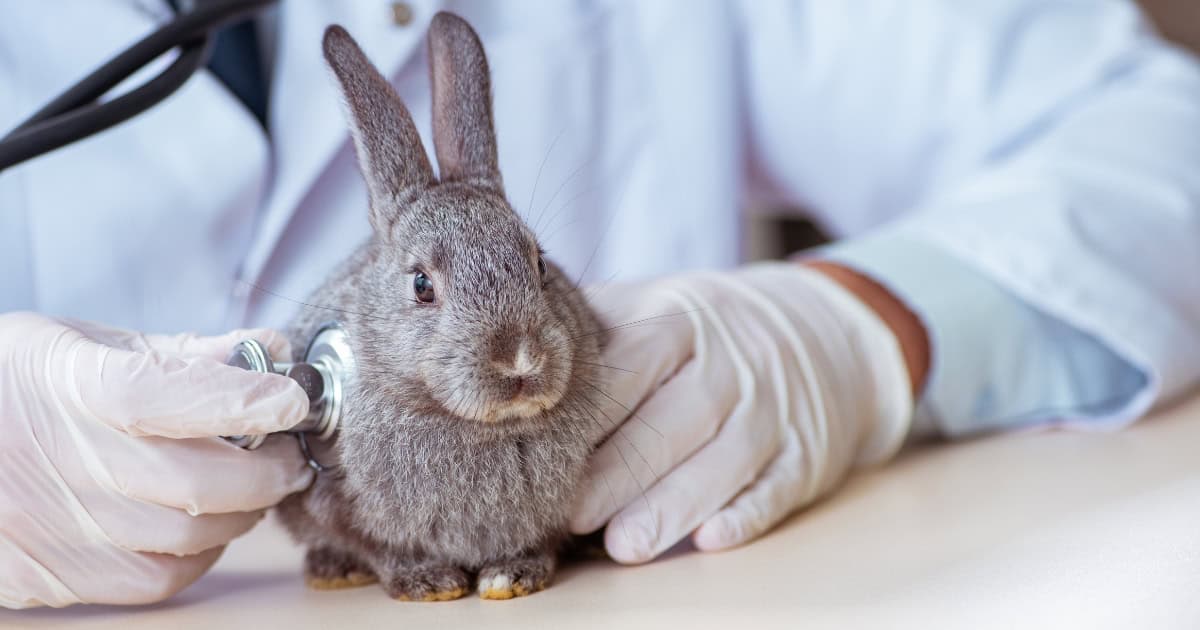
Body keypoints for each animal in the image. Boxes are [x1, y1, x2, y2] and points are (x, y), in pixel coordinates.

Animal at [274, 13, 608, 602]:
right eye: (422, 285)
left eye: (540, 264)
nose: (519, 361)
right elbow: (380, 546)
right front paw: (427, 583)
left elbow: (540, 541)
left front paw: (512, 576)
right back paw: (332, 571)